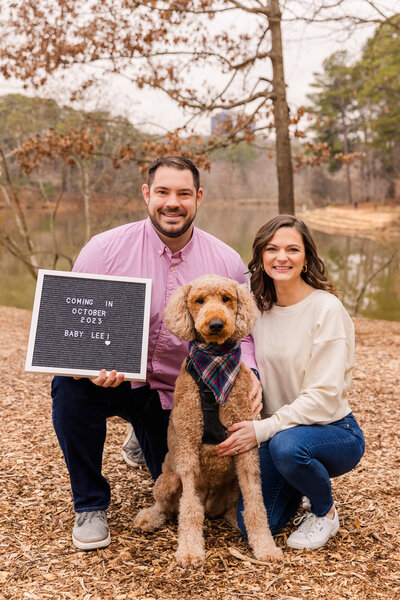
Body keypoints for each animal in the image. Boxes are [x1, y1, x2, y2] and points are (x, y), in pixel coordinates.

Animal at [134, 274, 282, 564]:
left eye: (227, 299)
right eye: (199, 300)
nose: (215, 324)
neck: (215, 365)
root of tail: (211, 503)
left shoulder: (246, 448)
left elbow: (255, 504)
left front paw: (265, 546)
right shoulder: (189, 447)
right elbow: (189, 508)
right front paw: (190, 551)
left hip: (231, 485)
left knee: (231, 509)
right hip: (167, 480)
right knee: (169, 507)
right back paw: (149, 518)